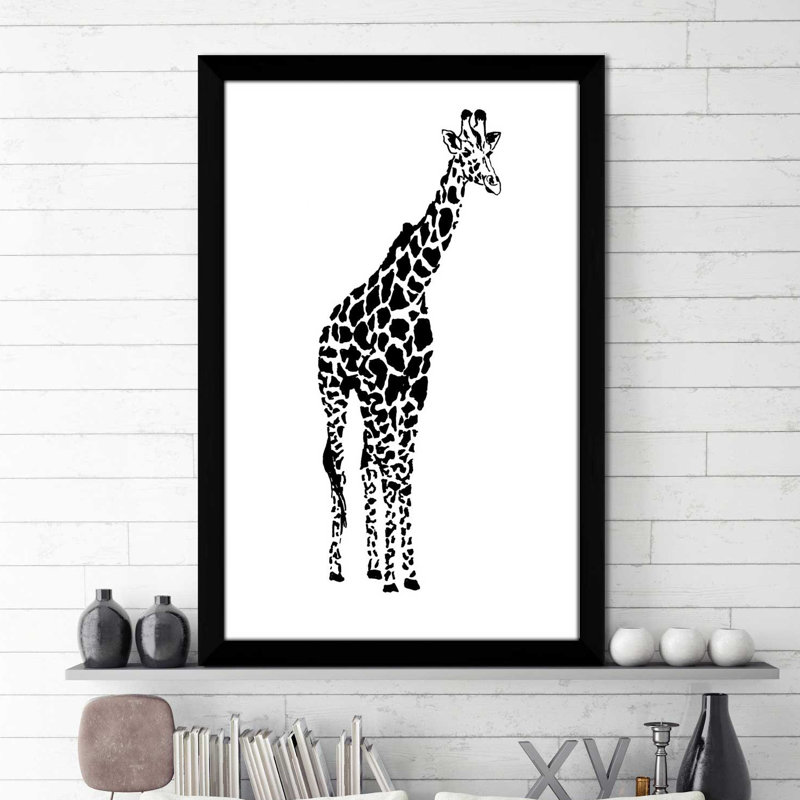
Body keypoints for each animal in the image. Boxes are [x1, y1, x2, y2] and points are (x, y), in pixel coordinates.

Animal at [317, 109, 502, 592]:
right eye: (464, 152)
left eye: (488, 150)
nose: (495, 182)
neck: (414, 288)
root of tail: (323, 328)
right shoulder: (382, 386)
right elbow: (392, 470)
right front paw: (393, 578)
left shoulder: (414, 389)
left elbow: (404, 472)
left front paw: (408, 573)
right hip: (335, 394)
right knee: (339, 466)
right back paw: (337, 568)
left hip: (366, 398)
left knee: (366, 464)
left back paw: (370, 564)